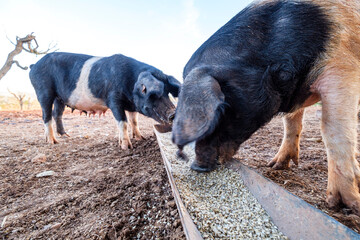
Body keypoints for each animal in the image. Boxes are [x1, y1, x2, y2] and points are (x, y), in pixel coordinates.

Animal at [29, 52, 180, 149]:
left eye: (167, 92)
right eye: (153, 94)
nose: (173, 113)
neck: (130, 83)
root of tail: (34, 65)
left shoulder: (132, 105)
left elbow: (134, 121)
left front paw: (141, 138)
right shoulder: (113, 100)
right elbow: (123, 122)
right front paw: (126, 147)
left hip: (60, 98)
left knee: (57, 114)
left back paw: (66, 136)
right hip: (43, 91)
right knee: (46, 115)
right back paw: (53, 142)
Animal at [172, 0, 360, 216]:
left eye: (220, 110)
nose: (197, 167)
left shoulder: (343, 68)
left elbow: (333, 130)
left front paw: (345, 205)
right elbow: (291, 123)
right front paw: (276, 166)